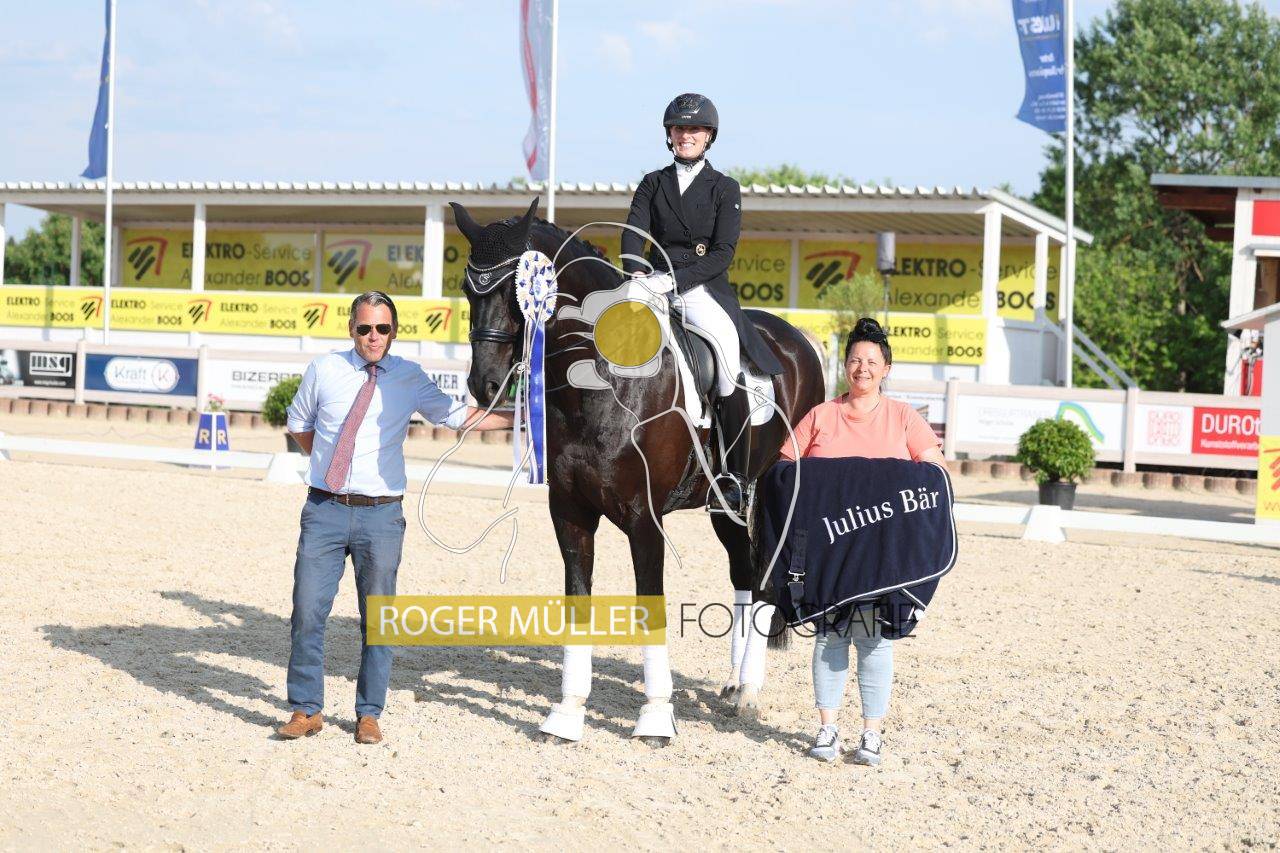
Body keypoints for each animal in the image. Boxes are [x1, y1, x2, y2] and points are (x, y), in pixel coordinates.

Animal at [450, 197, 826, 742]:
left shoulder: (645, 519)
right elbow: (578, 602)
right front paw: (567, 713)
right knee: (744, 572)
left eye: (517, 288)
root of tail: (800, 342)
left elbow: (651, 606)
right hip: (724, 505)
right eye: (467, 289)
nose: (486, 385)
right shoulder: (570, 513)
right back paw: (733, 686)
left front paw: (655, 717)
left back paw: (749, 692)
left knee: (765, 579)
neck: (601, 382)